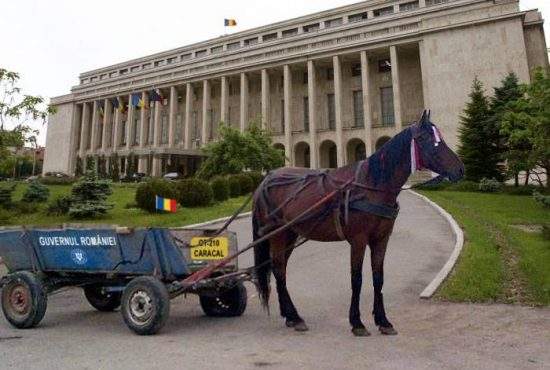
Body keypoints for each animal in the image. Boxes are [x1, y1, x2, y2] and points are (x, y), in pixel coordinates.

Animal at [253, 109, 466, 336]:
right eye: (429, 140)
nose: (460, 169)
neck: (371, 185)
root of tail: (266, 179)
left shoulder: (382, 239)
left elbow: (378, 277)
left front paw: (383, 321)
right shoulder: (358, 239)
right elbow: (357, 279)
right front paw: (357, 322)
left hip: (291, 234)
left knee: (280, 268)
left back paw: (290, 316)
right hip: (277, 233)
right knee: (278, 269)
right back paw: (294, 316)